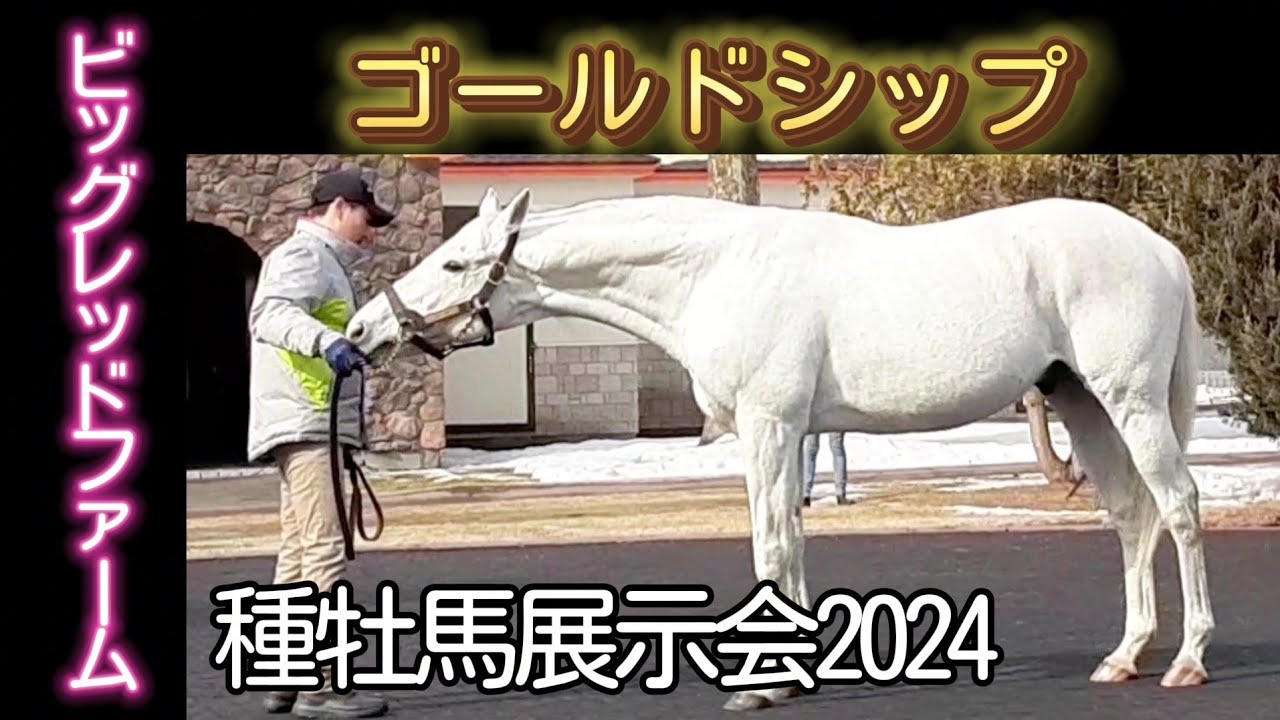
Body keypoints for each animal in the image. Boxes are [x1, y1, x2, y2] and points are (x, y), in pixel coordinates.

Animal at [344, 186, 1214, 710]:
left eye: (456, 260)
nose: (363, 329)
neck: (715, 272)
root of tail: (1163, 251)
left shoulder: (769, 428)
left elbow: (770, 541)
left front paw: (761, 685)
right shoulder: (788, 433)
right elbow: (791, 543)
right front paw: (792, 675)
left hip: (1129, 400)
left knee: (1178, 507)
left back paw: (1186, 659)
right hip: (1081, 401)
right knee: (1131, 517)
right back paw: (1124, 655)